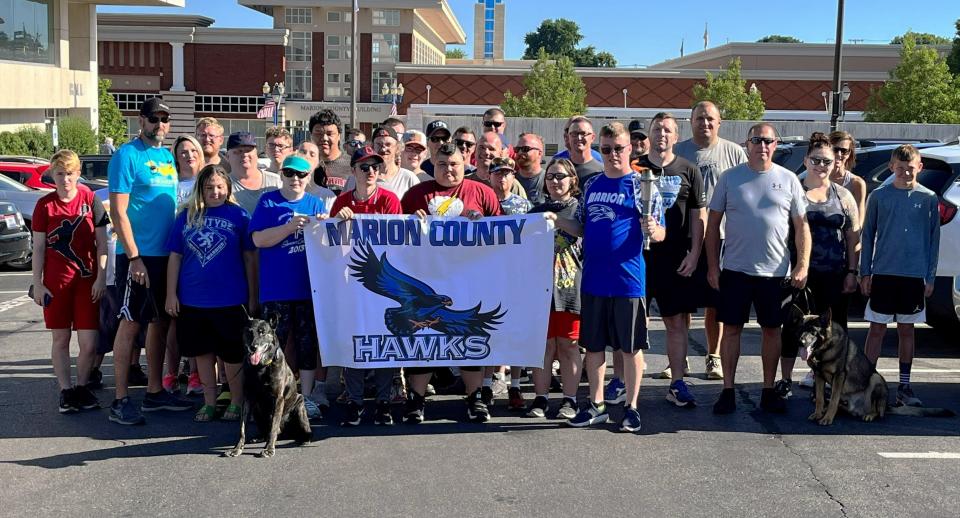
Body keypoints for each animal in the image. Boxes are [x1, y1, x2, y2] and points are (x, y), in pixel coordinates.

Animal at [224, 316, 312, 460]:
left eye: (262, 332)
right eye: (249, 332)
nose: (253, 347)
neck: (261, 367)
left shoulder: (278, 399)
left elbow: (273, 427)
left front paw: (269, 449)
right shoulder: (247, 399)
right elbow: (242, 428)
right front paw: (237, 449)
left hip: (299, 405)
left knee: (303, 429)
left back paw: (305, 438)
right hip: (256, 409)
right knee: (266, 430)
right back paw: (259, 437)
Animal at [788, 308, 952, 426]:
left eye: (813, 332)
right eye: (800, 330)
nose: (800, 342)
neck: (824, 350)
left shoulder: (839, 376)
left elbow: (833, 400)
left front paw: (827, 418)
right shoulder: (819, 376)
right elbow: (820, 399)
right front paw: (818, 414)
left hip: (875, 378)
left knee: (877, 411)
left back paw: (869, 415)